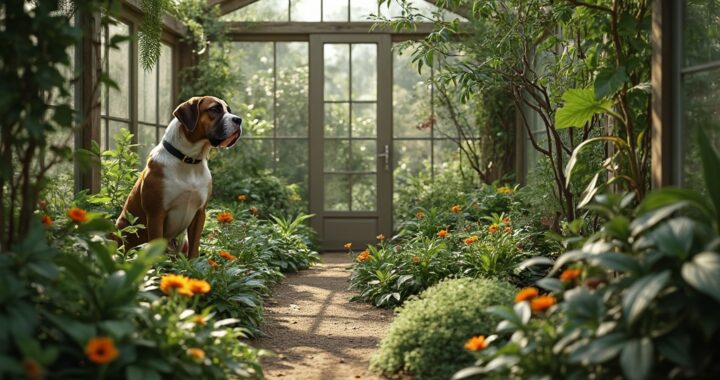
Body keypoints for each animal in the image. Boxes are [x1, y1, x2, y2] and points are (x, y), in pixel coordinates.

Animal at [115, 95, 243, 258]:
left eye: (229, 110)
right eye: (214, 109)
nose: (238, 120)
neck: (189, 160)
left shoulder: (199, 214)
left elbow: (194, 249)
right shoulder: (156, 215)